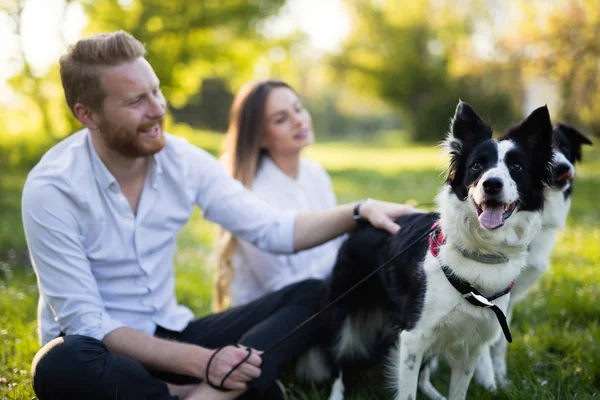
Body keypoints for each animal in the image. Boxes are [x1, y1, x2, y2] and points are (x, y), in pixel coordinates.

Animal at [298, 101, 556, 398]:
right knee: (340, 364)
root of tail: (364, 220)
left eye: (516, 166)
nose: (492, 184)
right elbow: (407, 390)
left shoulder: (471, 346)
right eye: (477, 165)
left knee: (423, 374)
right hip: (346, 318)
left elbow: (456, 391)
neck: (480, 253)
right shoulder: (413, 335)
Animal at [472, 122, 592, 390]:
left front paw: (502, 379)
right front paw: (488, 383)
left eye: (565, 147)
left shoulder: (508, 297)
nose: (563, 168)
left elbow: (499, 341)